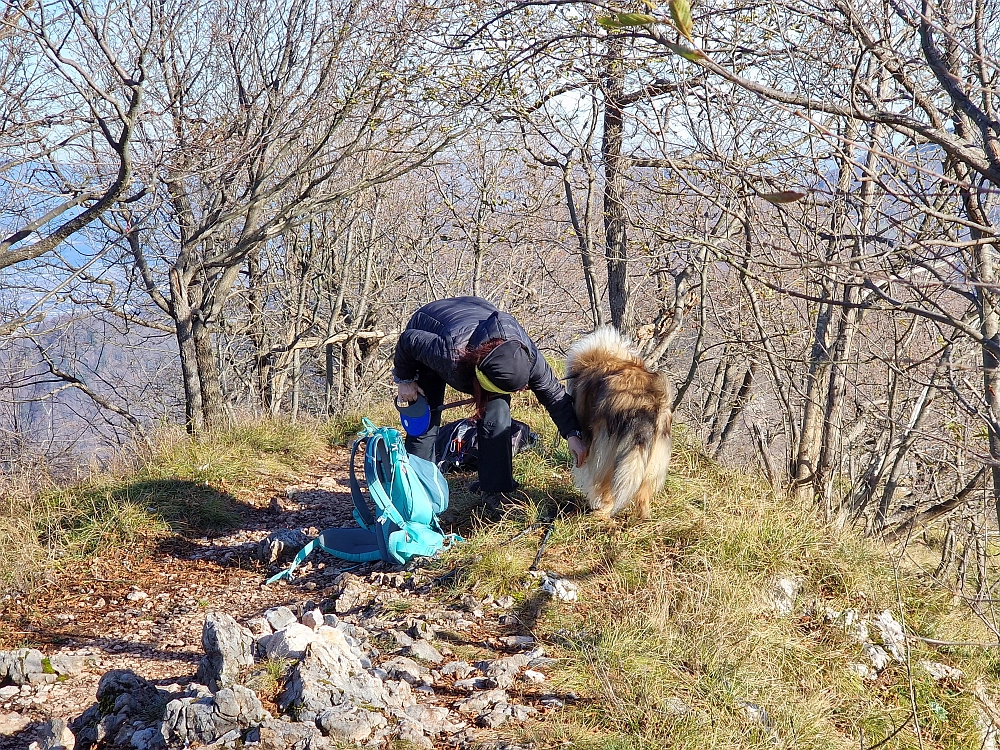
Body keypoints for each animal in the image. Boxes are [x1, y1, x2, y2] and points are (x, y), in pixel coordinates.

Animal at [568, 326, 676, 520]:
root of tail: (651, 401)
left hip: (607, 449)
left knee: (607, 487)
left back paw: (600, 512)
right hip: (652, 459)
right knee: (642, 494)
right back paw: (642, 519)